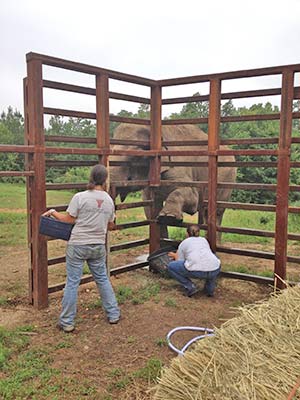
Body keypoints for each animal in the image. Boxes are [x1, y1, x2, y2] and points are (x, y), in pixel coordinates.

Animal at [108, 123, 237, 239]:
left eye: (135, 155)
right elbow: (151, 209)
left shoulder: (178, 164)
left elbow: (192, 196)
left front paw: (169, 216)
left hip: (227, 179)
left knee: (216, 212)